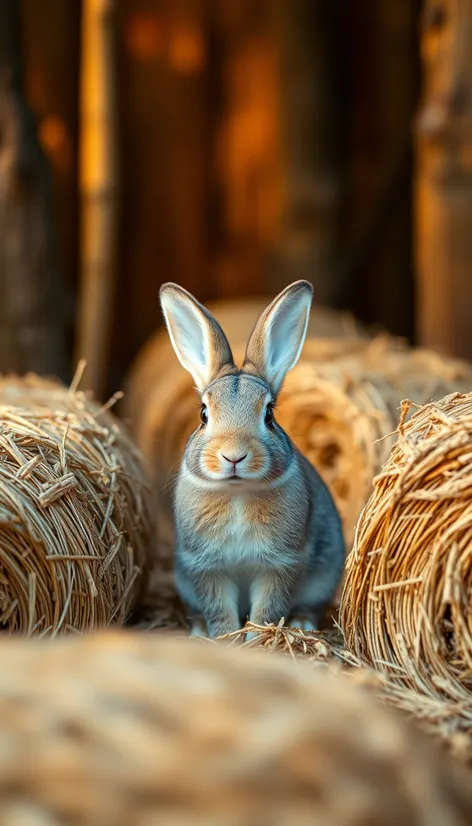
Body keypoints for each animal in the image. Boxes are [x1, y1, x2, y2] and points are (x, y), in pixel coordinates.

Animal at [159, 278, 342, 636]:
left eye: (269, 414)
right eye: (203, 414)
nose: (234, 456)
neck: (237, 493)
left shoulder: (280, 563)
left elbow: (267, 608)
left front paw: (257, 638)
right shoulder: (206, 567)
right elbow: (220, 610)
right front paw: (225, 637)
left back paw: (302, 622)